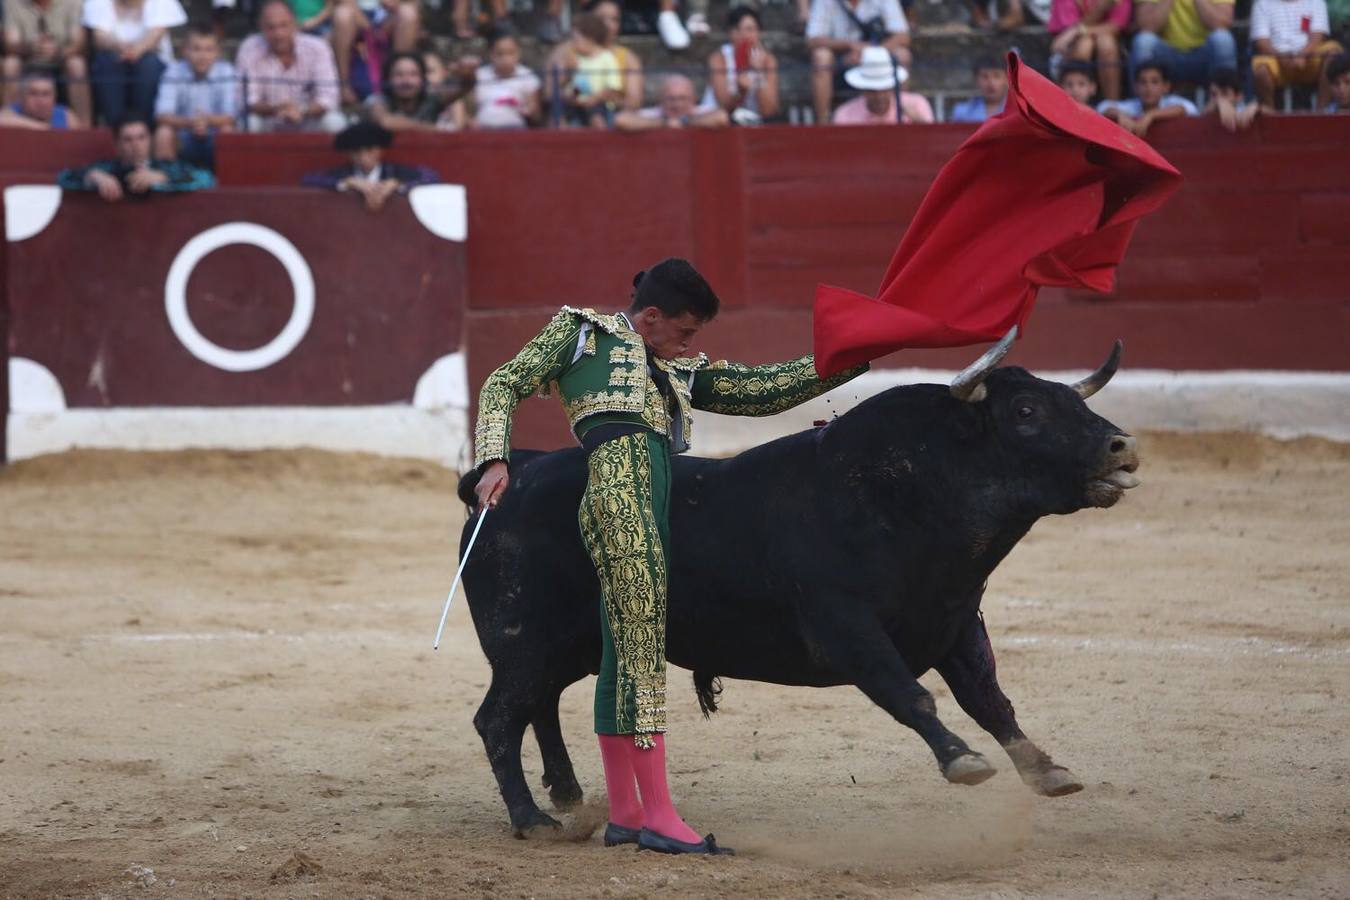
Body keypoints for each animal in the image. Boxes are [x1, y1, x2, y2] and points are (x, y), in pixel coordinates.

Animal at [456, 341, 1139, 836]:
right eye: (1026, 412)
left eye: (1070, 401)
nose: (1122, 447)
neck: (905, 495)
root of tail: (509, 478)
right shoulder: (845, 628)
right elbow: (911, 695)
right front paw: (962, 760)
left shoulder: (955, 620)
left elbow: (990, 700)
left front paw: (1048, 771)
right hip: (523, 642)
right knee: (498, 719)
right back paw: (531, 819)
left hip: (561, 647)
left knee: (538, 705)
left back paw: (568, 795)